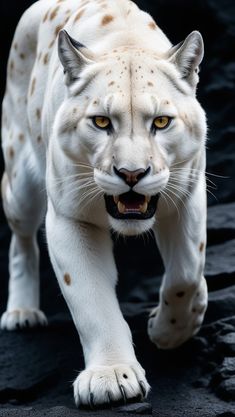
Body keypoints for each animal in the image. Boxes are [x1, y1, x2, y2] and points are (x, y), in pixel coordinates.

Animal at [1, 0, 207, 406]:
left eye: (161, 122)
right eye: (100, 122)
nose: (131, 173)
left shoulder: (187, 195)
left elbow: (186, 274)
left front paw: (169, 330)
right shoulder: (69, 216)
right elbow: (91, 298)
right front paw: (112, 377)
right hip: (20, 184)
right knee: (21, 241)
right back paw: (22, 312)